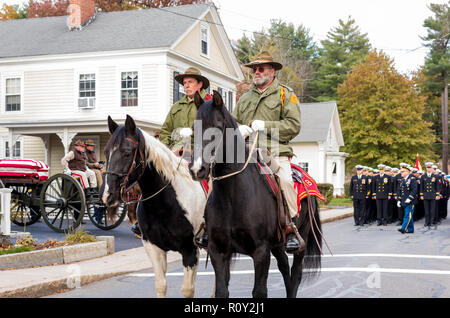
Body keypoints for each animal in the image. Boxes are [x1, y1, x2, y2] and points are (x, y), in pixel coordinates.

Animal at [101, 116, 207, 298]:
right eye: (107, 152)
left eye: (127, 152)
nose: (108, 195)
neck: (164, 204)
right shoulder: (153, 248)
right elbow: (161, 285)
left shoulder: (190, 250)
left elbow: (188, 290)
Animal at [188, 90, 322, 298]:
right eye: (194, 127)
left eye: (217, 127)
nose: (196, 169)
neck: (232, 197)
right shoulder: (218, 250)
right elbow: (222, 290)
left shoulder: (260, 251)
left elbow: (259, 291)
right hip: (277, 244)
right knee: (285, 268)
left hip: (302, 239)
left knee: (296, 274)